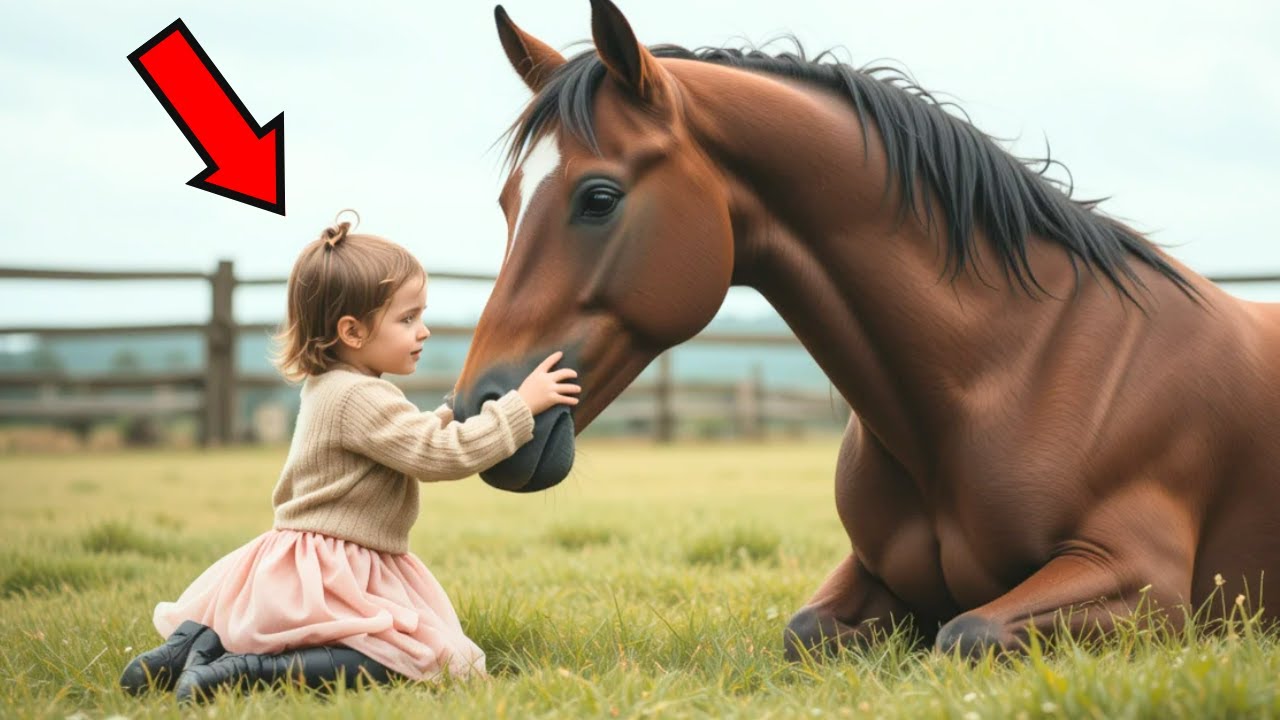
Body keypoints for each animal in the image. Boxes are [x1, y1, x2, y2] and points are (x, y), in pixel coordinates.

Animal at [450, 0, 1280, 659]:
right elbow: (806, 631)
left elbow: (967, 631)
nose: (479, 412)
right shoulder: (872, 572)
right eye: (506, 202)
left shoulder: (1148, 588)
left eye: (598, 198)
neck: (1016, 371)